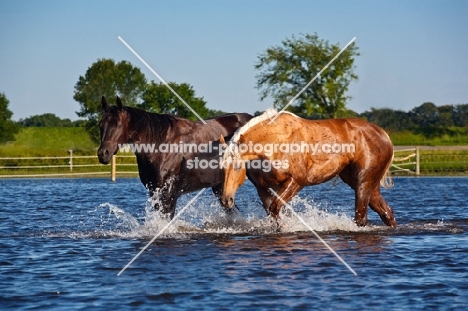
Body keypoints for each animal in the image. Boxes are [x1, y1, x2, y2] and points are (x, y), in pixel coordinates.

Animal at [96, 97, 252, 219]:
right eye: (100, 124)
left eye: (118, 125)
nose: (103, 153)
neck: (160, 146)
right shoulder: (155, 192)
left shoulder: (169, 194)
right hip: (220, 186)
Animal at [221, 108, 396, 228]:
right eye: (222, 167)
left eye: (237, 166)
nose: (226, 200)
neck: (275, 142)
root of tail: (383, 134)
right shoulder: (264, 188)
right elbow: (273, 214)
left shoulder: (296, 181)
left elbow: (275, 209)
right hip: (364, 182)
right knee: (386, 212)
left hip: (363, 182)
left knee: (361, 217)